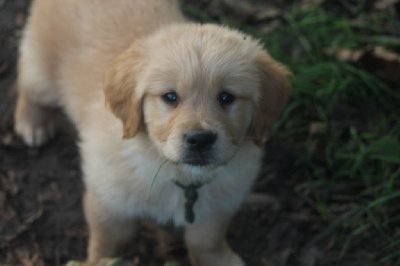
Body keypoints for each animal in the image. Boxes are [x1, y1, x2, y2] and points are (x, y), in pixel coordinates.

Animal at [14, 0, 290, 264]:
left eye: (226, 97)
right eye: (170, 97)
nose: (200, 140)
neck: (180, 176)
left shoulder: (220, 202)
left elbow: (207, 240)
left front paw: (220, 260)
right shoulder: (109, 200)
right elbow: (109, 243)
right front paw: (99, 261)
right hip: (42, 71)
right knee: (28, 83)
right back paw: (32, 123)